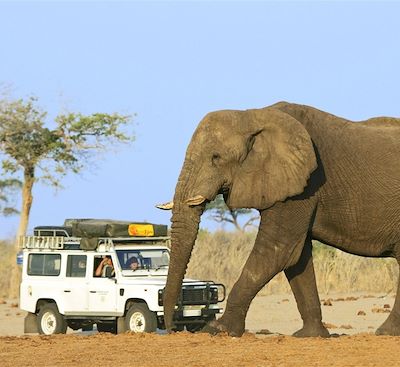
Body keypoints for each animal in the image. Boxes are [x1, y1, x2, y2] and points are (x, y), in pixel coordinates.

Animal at [158, 102, 400, 338]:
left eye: (215, 157)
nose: (172, 330)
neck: (254, 115)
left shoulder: (303, 186)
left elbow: (276, 249)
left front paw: (217, 330)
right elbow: (297, 257)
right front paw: (309, 335)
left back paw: (384, 332)